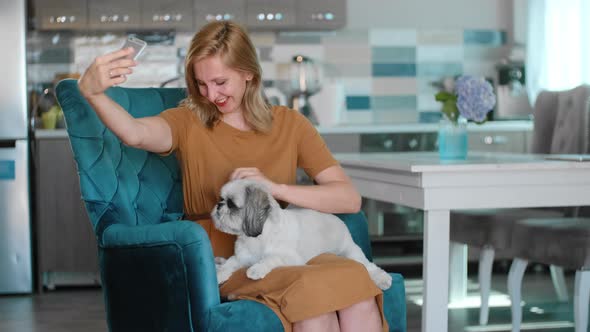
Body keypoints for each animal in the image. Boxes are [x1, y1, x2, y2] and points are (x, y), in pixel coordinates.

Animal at [212, 179, 394, 290]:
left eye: (232, 204)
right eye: (221, 199)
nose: (219, 205)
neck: (257, 238)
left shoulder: (290, 258)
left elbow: (270, 258)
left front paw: (256, 269)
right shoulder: (241, 258)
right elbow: (229, 264)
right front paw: (219, 273)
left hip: (351, 253)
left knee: (369, 267)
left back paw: (382, 279)